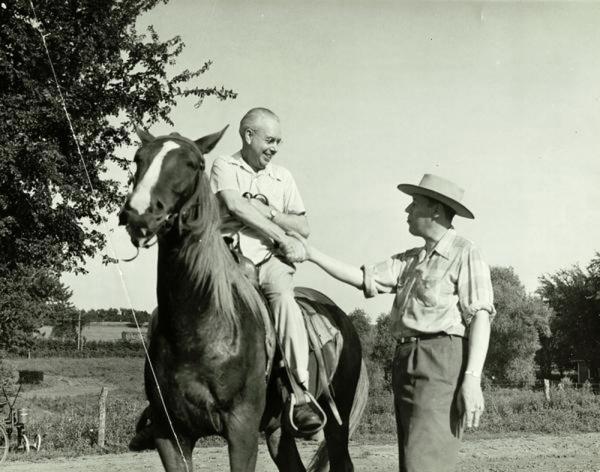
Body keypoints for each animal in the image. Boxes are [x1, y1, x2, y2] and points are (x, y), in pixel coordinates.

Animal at [118, 126, 366, 472]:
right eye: (138, 159)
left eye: (193, 164)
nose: (139, 214)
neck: (200, 325)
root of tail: (341, 318)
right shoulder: (170, 435)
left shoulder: (242, 429)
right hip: (278, 432)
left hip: (336, 421)